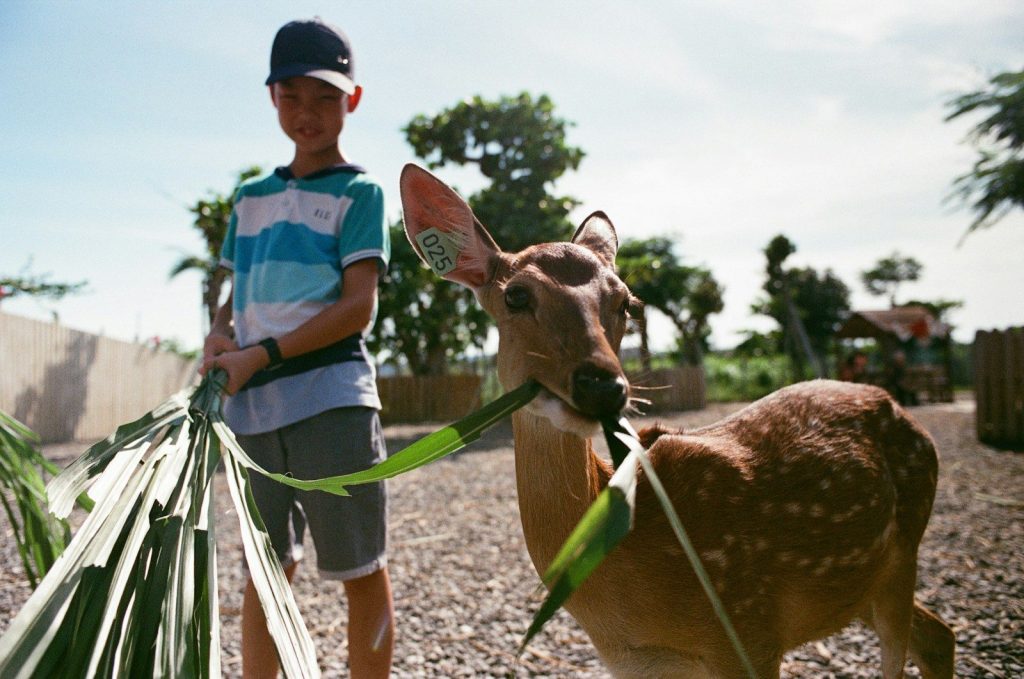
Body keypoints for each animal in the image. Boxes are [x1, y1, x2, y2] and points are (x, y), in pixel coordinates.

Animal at [399, 163, 955, 679]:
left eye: (628, 302)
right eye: (515, 295)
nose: (603, 385)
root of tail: (904, 413)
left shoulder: (749, 629)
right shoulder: (640, 664)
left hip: (902, 550)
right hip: (863, 581)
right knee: (938, 633)